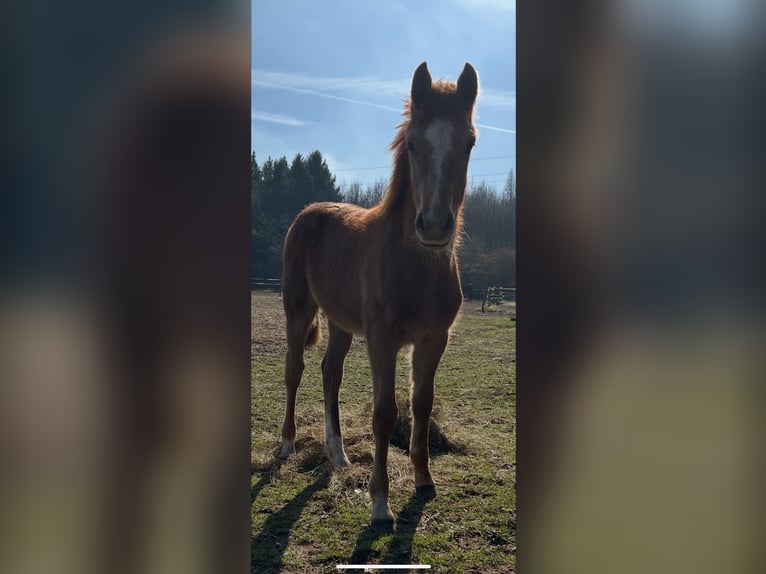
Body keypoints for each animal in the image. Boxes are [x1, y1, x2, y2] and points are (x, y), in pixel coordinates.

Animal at [279, 61, 479, 530]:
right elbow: (385, 413)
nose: (435, 226)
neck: (415, 266)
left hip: (339, 323)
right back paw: (287, 446)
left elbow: (421, 404)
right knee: (295, 370)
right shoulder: (383, 340)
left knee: (329, 372)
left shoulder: (433, 339)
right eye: (412, 143)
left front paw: (424, 480)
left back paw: (338, 454)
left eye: (469, 142)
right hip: (299, 310)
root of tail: (307, 214)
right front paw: (380, 503)